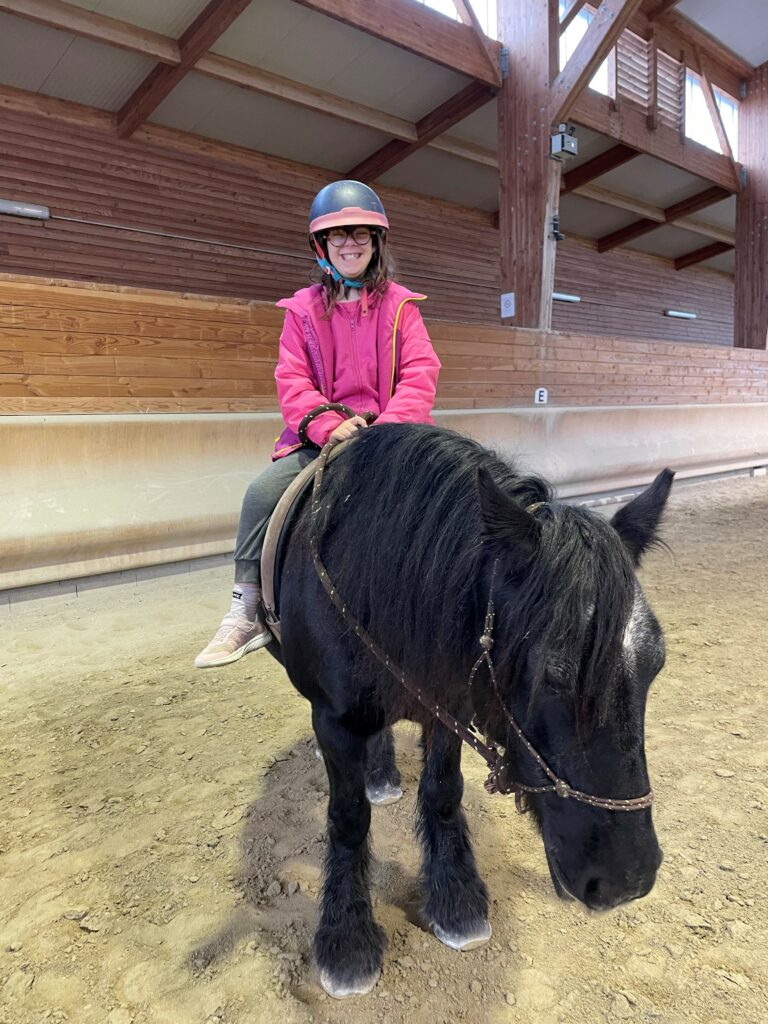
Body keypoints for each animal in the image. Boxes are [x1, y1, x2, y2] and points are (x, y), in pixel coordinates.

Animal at [274, 423, 671, 999]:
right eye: (553, 672)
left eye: (656, 663)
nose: (627, 880)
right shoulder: (333, 721)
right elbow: (347, 818)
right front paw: (345, 939)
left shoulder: (447, 702)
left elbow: (442, 793)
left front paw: (456, 899)